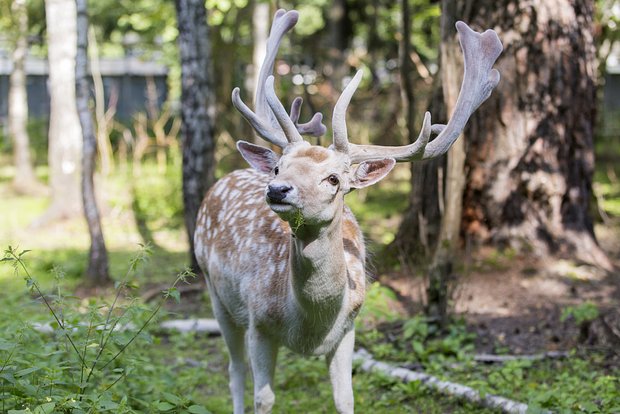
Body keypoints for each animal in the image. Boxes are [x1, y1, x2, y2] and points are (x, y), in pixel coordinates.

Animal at [196, 9, 502, 414]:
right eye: (278, 168)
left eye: (333, 179)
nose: (277, 189)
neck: (309, 322)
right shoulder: (258, 322)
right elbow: (264, 398)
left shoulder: (349, 329)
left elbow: (345, 399)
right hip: (216, 294)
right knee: (234, 370)